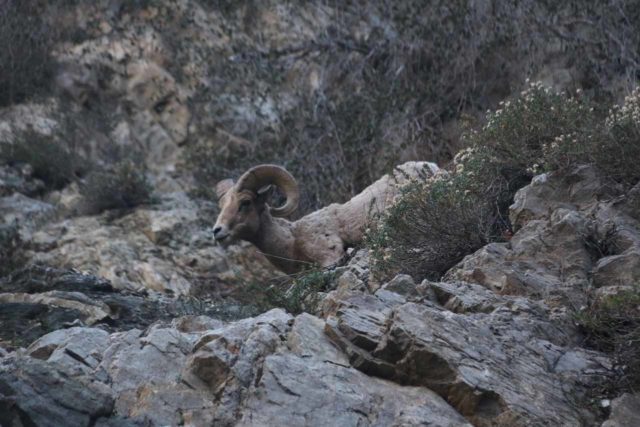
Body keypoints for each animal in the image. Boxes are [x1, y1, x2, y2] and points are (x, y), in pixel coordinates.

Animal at [214, 160, 440, 274]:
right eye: (222, 206)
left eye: (245, 202)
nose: (217, 231)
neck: (292, 241)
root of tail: (428, 167)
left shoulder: (330, 257)